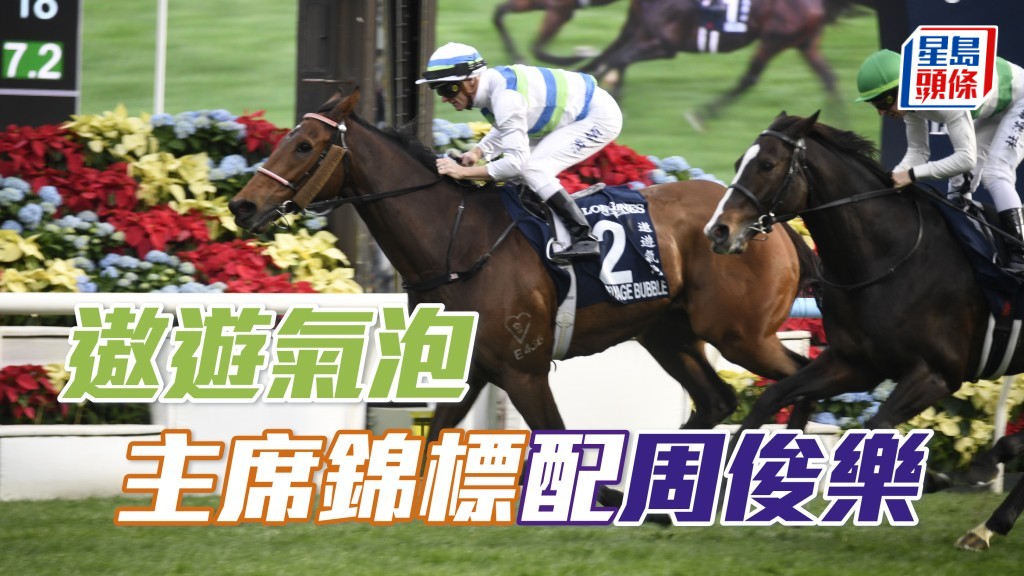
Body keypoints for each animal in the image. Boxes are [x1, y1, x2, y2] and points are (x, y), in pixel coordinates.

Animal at [576, 0, 863, 129]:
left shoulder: (665, 45)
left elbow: (617, 60)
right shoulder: (636, 28)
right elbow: (609, 58)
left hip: (773, 40)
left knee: (750, 78)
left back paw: (704, 114)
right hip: (806, 43)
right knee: (828, 77)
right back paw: (841, 123)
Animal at [702, 111, 1024, 550]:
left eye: (766, 165)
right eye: (738, 163)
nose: (717, 231)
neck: (889, 258)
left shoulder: (937, 373)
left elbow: (875, 428)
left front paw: (934, 478)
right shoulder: (854, 364)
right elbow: (772, 398)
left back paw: (988, 481)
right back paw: (987, 520)